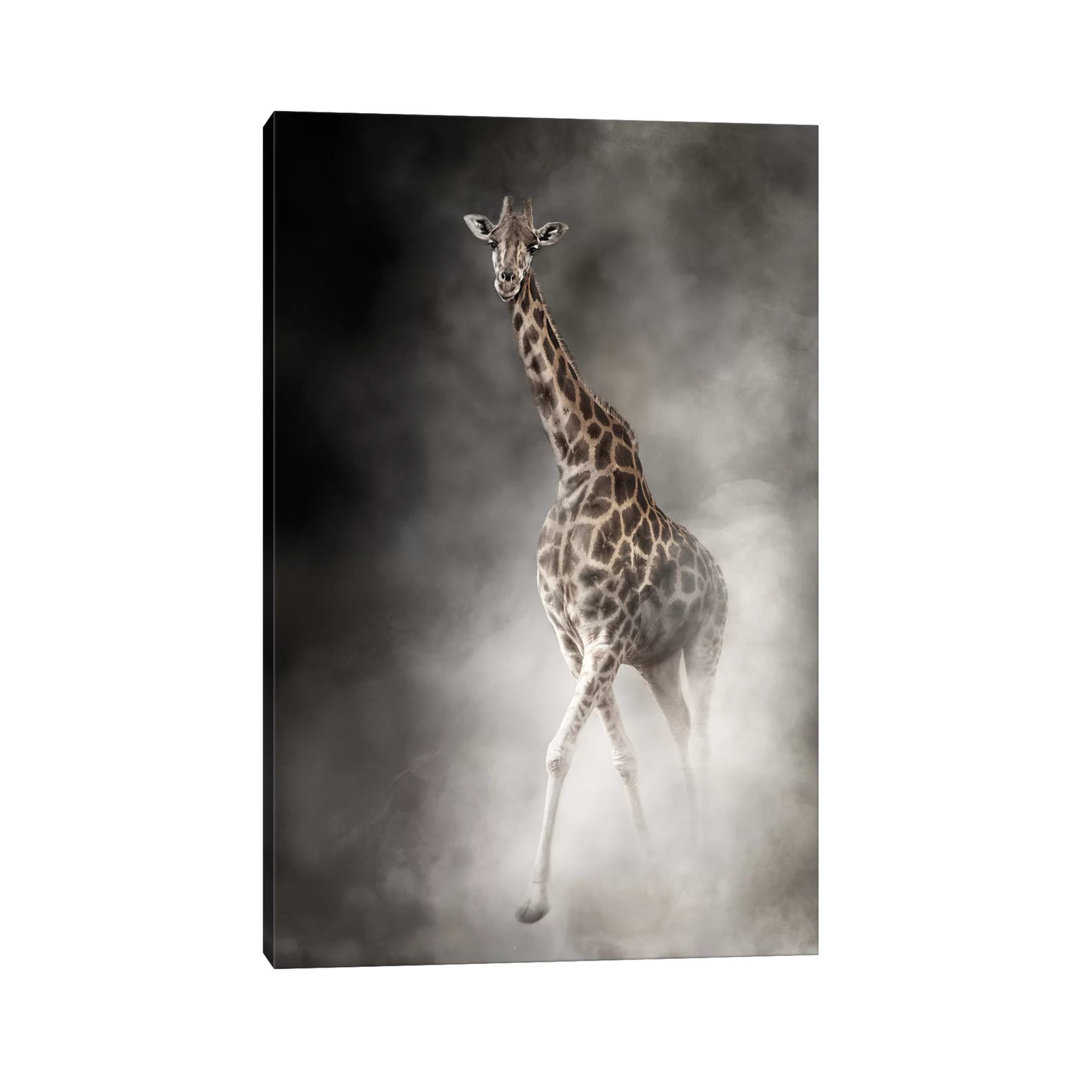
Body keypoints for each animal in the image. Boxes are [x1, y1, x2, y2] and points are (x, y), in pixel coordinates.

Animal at [464, 196, 728, 925]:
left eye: (536, 243)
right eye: (491, 239)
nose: (506, 278)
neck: (573, 458)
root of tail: (722, 576)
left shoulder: (603, 635)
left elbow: (559, 752)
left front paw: (533, 898)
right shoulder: (573, 640)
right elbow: (622, 755)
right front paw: (652, 865)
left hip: (705, 644)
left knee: (703, 737)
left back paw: (711, 860)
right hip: (658, 664)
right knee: (680, 736)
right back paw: (690, 852)